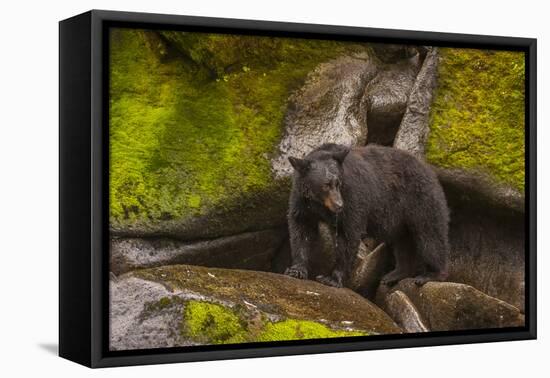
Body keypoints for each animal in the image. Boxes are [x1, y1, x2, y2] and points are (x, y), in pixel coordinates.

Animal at [286, 143, 450, 288]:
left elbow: (348, 235)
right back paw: (395, 274)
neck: (319, 203)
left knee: (430, 236)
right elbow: (302, 230)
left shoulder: (352, 196)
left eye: (338, 182)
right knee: (403, 243)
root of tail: (429, 170)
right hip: (402, 220)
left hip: (421, 200)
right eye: (326, 184)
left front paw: (332, 278)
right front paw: (296, 270)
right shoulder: (302, 201)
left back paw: (430, 274)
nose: (339, 205)